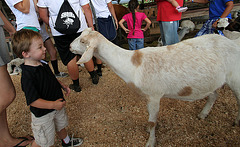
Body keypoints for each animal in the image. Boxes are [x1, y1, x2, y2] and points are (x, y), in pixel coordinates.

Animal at [71, 27, 240, 147]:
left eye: (83, 41)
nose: (70, 46)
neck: (133, 64)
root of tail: (233, 42)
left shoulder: (154, 95)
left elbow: (153, 121)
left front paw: (150, 142)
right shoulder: (148, 97)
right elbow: (150, 118)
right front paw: (148, 130)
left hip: (235, 79)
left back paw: (236, 121)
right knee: (213, 95)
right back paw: (203, 114)